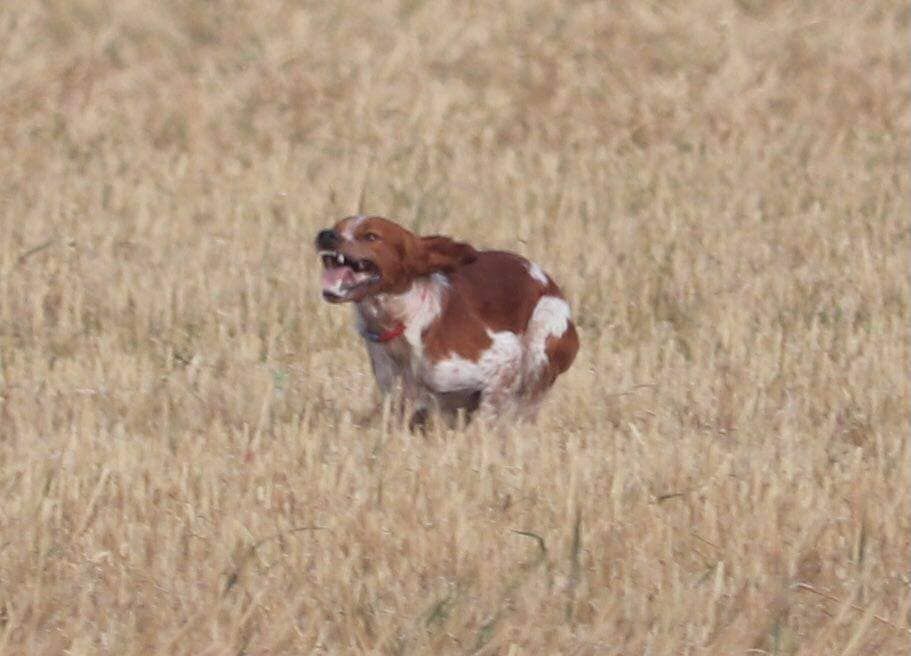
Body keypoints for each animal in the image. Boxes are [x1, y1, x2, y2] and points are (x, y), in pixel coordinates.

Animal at [318, 217, 580, 430]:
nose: (325, 234)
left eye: (371, 236)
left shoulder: (504, 357)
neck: (405, 320)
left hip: (543, 334)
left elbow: (490, 416)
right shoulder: (396, 393)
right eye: (337, 227)